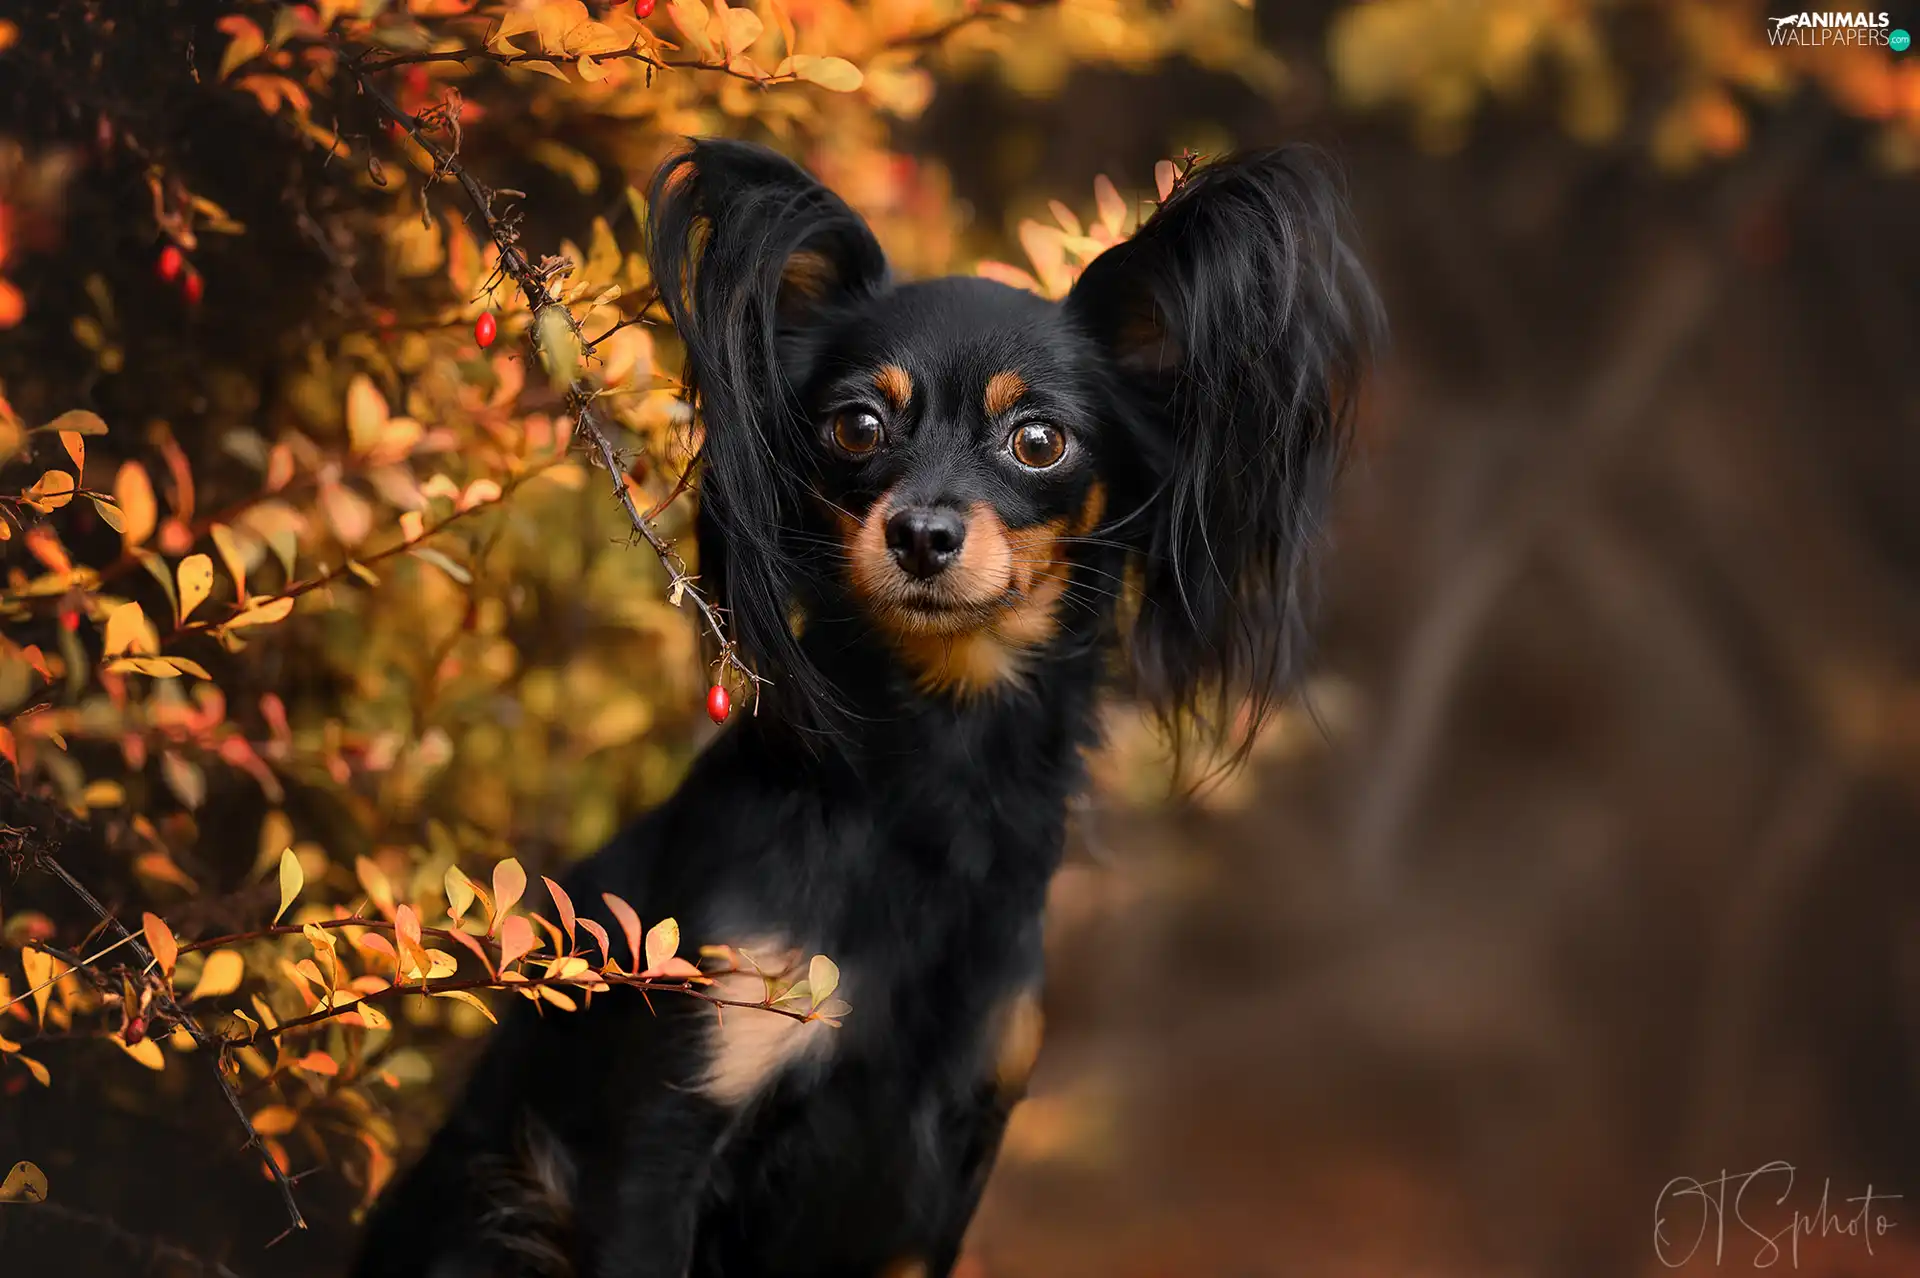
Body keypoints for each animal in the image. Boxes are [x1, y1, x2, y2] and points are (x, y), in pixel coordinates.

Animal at [357, 137, 1382, 1274]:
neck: (934, 776)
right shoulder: (673, 1124)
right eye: (857, 426)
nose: (923, 534)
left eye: (1039, 442)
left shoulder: (938, 1176)